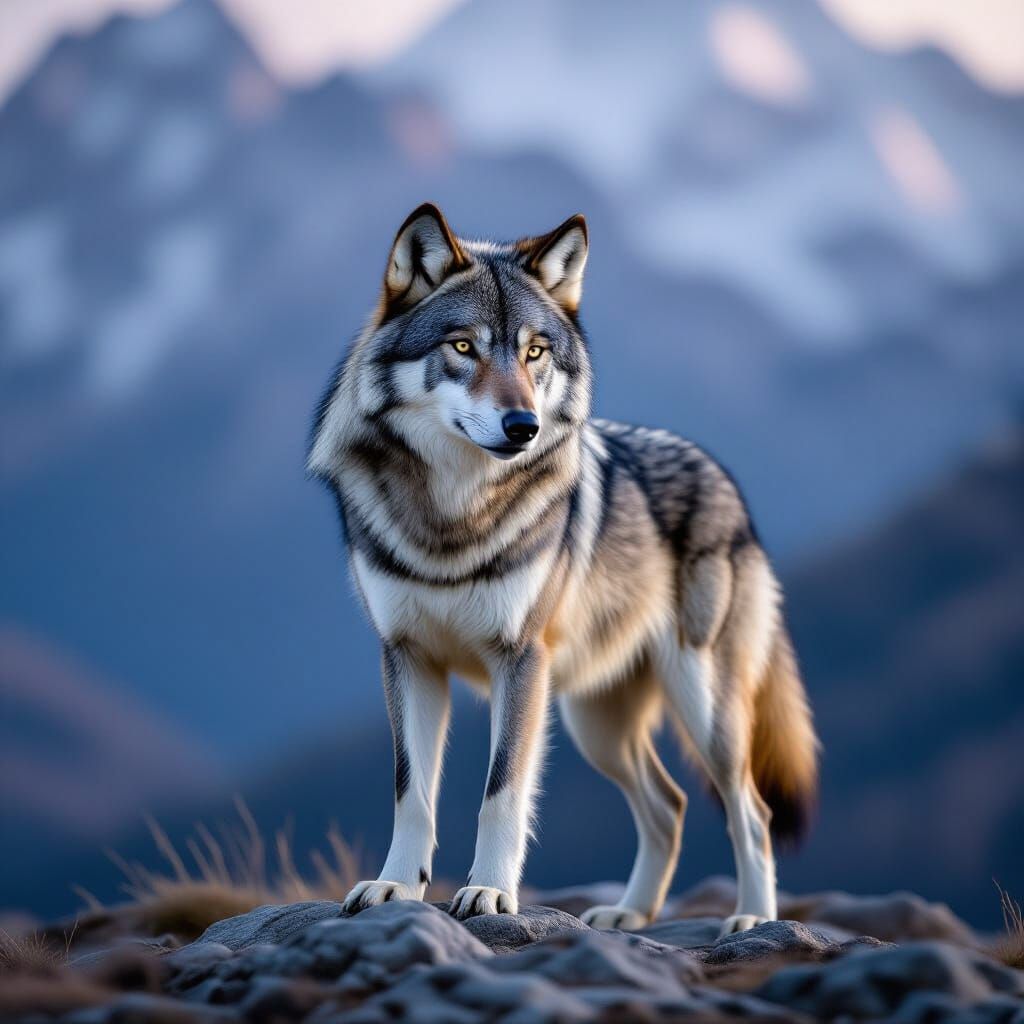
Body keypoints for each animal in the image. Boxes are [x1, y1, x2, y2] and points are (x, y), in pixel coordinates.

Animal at [308, 204, 818, 933]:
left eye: (534, 352)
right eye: (463, 348)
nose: (522, 425)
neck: (453, 518)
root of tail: (726, 481)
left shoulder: (520, 660)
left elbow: (502, 791)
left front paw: (491, 895)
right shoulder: (408, 657)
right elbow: (413, 792)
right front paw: (396, 887)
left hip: (700, 705)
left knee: (751, 811)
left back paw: (754, 921)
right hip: (595, 723)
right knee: (670, 806)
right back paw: (628, 915)